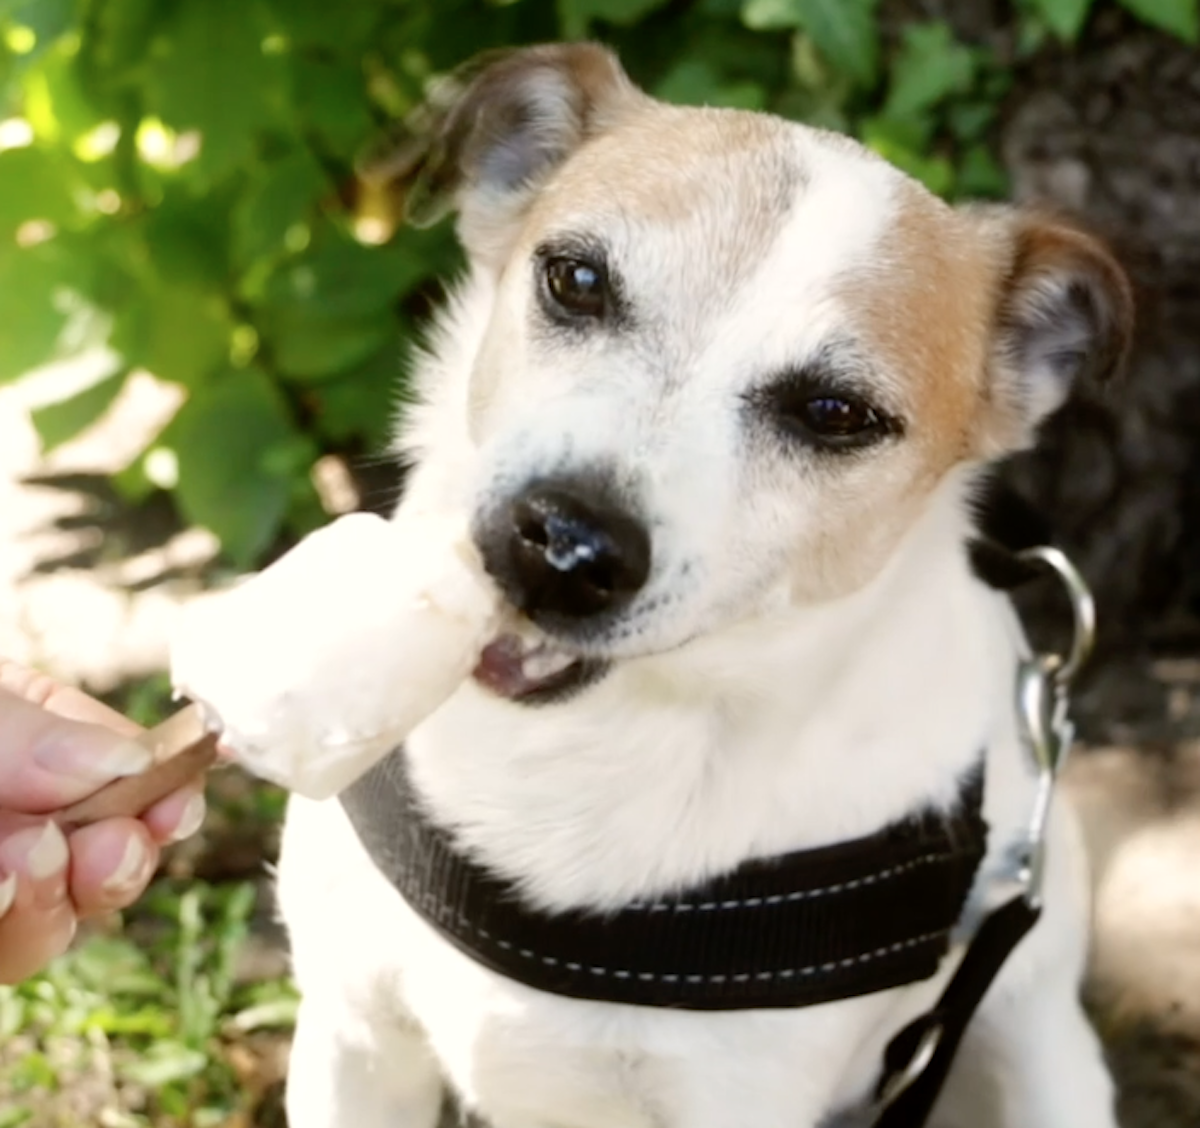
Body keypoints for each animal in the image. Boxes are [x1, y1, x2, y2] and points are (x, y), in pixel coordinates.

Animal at [274, 44, 1132, 1128]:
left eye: (836, 413)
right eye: (577, 279)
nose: (561, 545)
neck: (590, 755)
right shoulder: (352, 1035)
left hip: (1041, 1056)